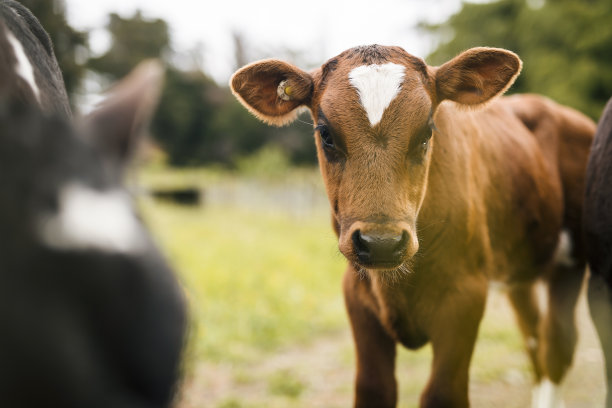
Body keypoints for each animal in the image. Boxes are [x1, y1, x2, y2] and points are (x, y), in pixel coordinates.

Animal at [230, 45, 592, 408]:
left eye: (426, 133)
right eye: (326, 134)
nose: (381, 242)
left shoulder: (466, 296)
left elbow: (443, 393)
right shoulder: (357, 295)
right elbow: (374, 387)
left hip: (571, 261)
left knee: (557, 346)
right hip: (519, 271)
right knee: (534, 339)